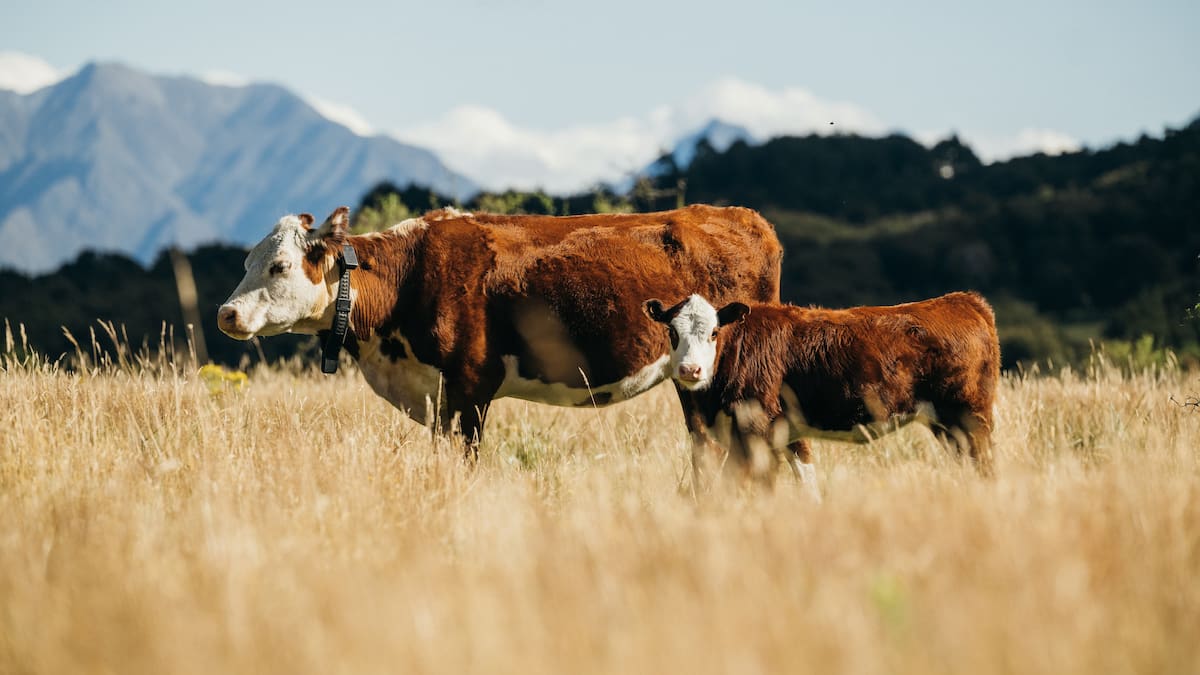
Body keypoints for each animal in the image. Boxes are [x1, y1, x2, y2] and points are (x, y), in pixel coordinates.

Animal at [217, 204, 783, 457]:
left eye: (280, 266)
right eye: (246, 261)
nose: (226, 313)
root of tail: (741, 216)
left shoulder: (470, 385)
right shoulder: (439, 396)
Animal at [643, 292, 1000, 493]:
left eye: (715, 332)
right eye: (672, 332)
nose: (690, 370)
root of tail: (964, 301)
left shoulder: (755, 430)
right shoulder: (778, 433)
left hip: (969, 417)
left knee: (985, 465)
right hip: (949, 426)